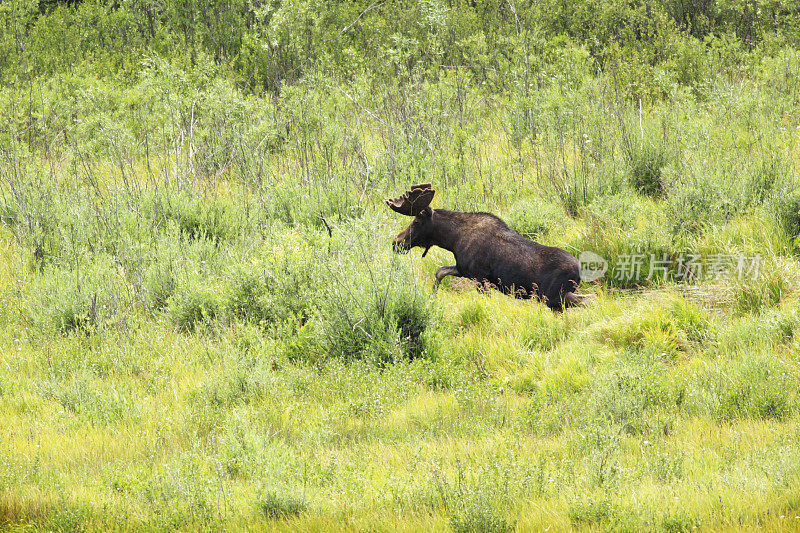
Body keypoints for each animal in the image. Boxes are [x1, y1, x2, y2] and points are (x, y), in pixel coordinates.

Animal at [388, 183, 580, 310]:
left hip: (554, 297)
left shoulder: (480, 277)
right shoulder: (463, 269)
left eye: (416, 221)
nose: (396, 242)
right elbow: (440, 271)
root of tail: (580, 271)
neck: (453, 240)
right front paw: (432, 296)